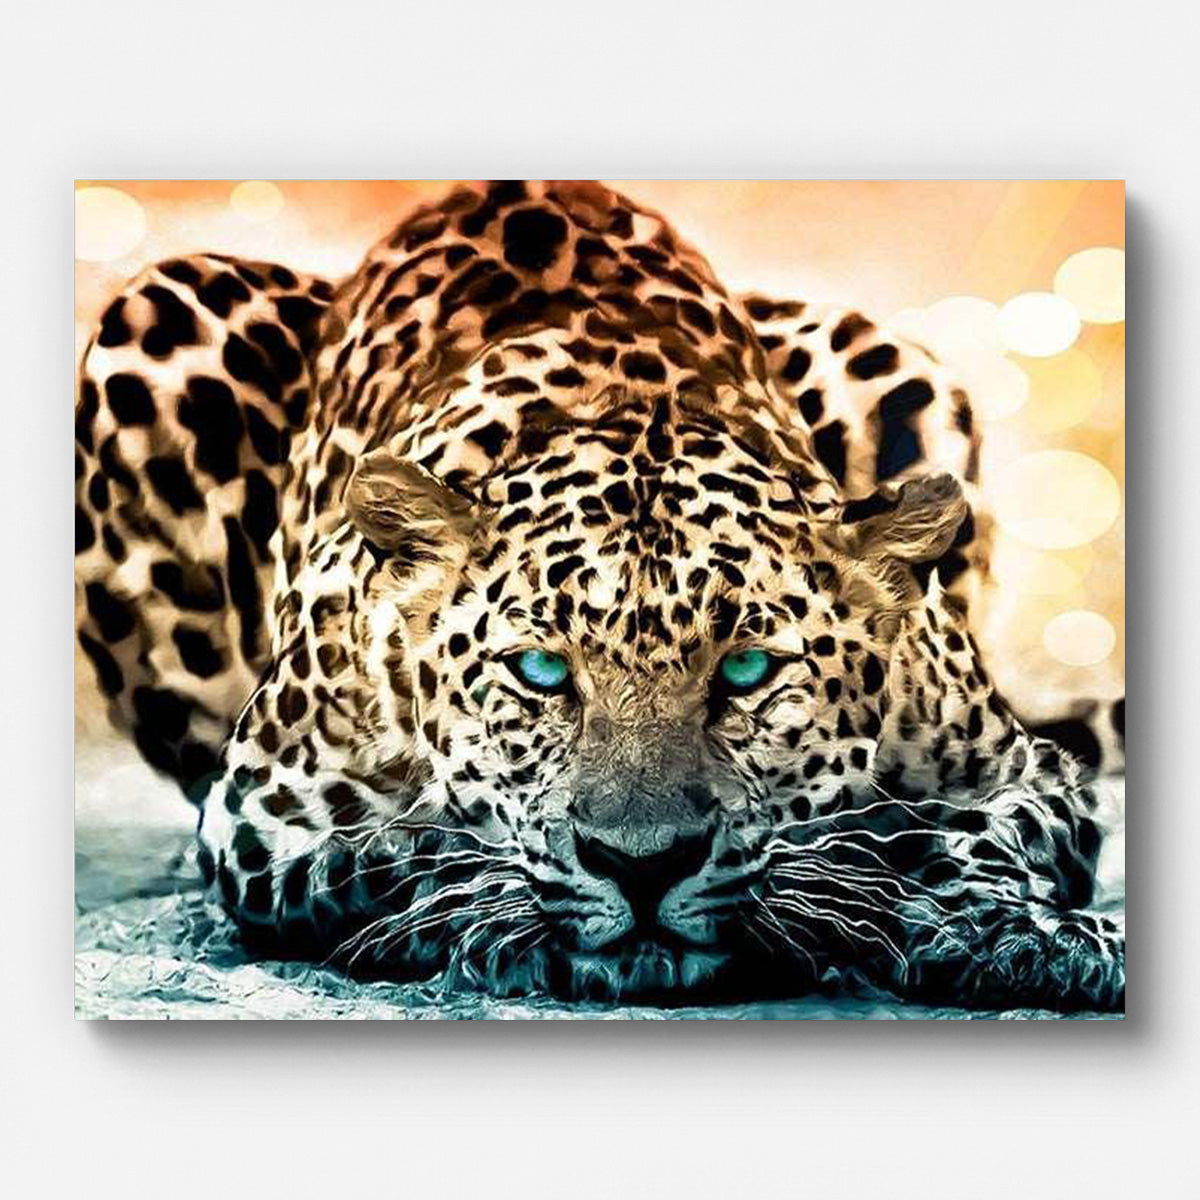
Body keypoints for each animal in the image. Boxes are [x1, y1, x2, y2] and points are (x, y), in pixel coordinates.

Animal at [75, 180, 1124, 1010]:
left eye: (746, 670)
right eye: (542, 672)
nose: (643, 863)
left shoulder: (1021, 767)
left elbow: (984, 831)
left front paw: (1014, 931)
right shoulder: (259, 815)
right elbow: (394, 855)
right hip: (158, 316)